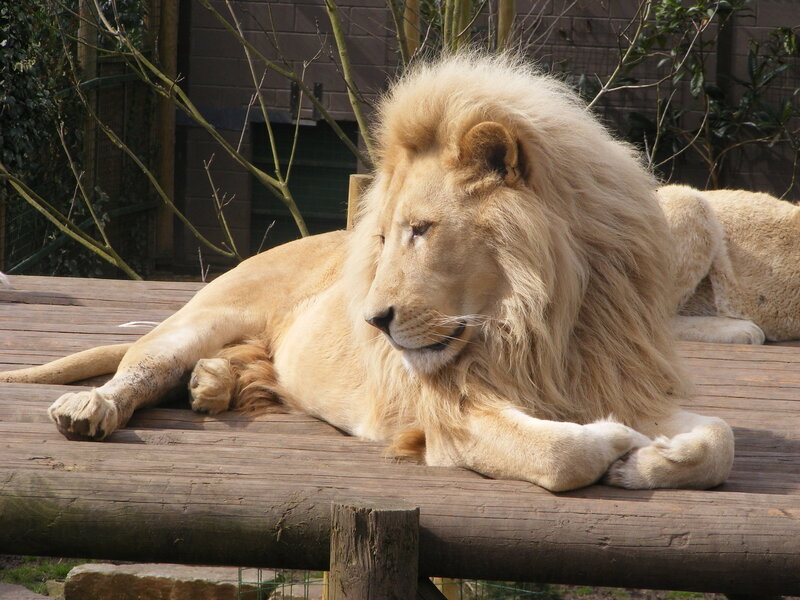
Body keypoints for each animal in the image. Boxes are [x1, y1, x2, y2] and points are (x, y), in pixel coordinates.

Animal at [0, 54, 735, 492]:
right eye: (382, 236)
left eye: (423, 230)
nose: (374, 321)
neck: (539, 319)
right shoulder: (452, 422)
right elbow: (562, 455)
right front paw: (616, 444)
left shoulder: (616, 376)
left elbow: (721, 437)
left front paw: (651, 459)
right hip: (201, 317)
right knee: (140, 367)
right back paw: (91, 408)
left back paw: (212, 386)